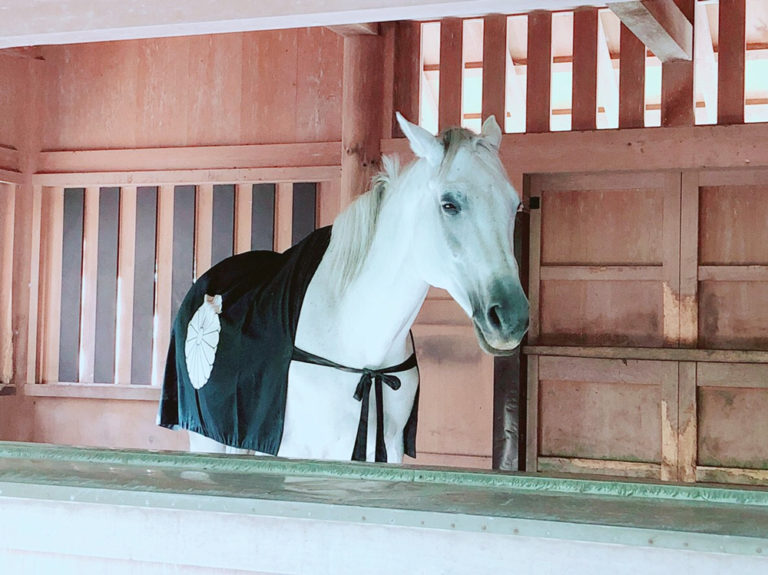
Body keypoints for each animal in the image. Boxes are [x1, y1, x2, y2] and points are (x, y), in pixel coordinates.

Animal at [179, 113, 528, 464]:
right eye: (449, 204)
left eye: (515, 205)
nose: (510, 317)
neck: (355, 339)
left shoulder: (388, 452)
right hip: (206, 438)